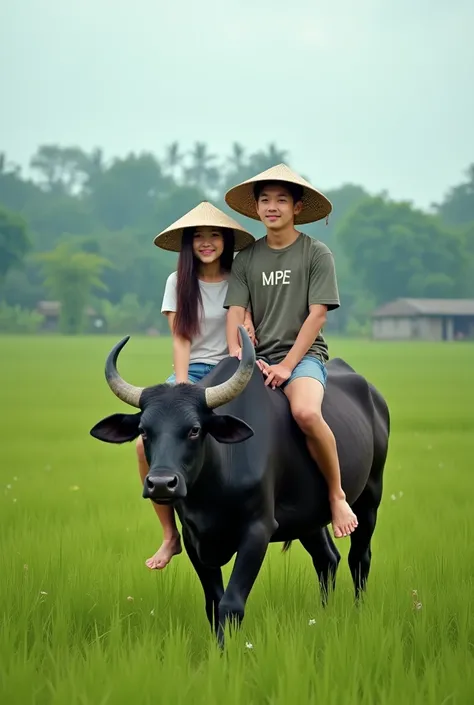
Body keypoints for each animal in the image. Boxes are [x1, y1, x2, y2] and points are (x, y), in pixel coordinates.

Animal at [89, 328, 388, 648]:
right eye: (144, 431)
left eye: (194, 429)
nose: (161, 484)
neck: (213, 489)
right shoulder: (194, 538)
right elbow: (213, 603)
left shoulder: (257, 530)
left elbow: (231, 604)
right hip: (308, 518)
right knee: (327, 559)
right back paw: (324, 613)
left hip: (370, 498)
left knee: (359, 557)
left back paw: (358, 611)